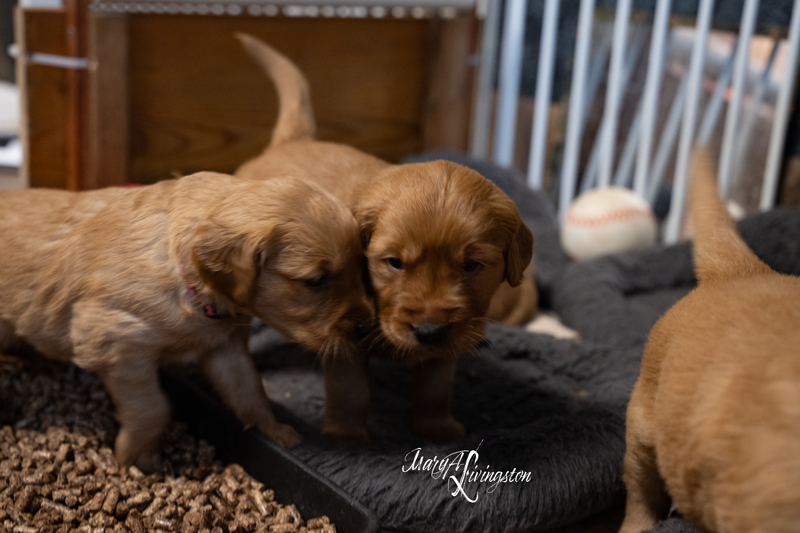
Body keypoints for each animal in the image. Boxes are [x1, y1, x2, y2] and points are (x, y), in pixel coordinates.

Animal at [0, 172, 376, 468]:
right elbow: (152, 408)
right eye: (316, 281)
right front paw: (137, 457)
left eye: (362, 269)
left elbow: (249, 390)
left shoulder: (224, 346)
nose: (365, 328)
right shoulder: (116, 344)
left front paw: (276, 431)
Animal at [231, 34, 532, 444]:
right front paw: (348, 438)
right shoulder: (344, 334)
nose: (428, 331)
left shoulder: (449, 342)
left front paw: (437, 429)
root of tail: (288, 143)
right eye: (394, 263)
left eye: (472, 266)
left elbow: (436, 388)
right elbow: (351, 390)